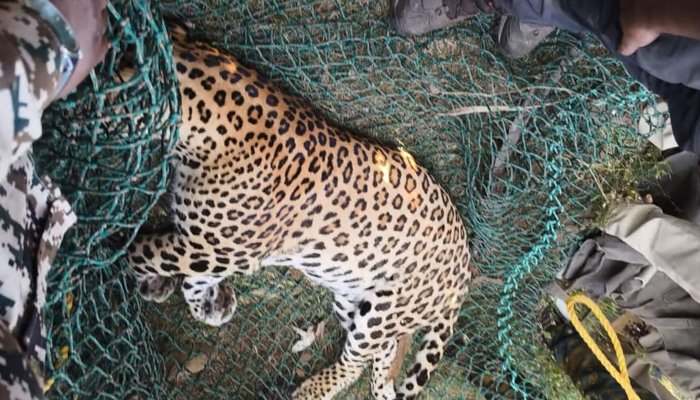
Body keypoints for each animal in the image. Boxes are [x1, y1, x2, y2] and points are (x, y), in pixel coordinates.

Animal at [126, 23, 472, 400]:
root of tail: (465, 271)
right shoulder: (216, 251)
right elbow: (189, 278)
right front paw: (208, 305)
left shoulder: (213, 249)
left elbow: (142, 253)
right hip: (351, 298)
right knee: (384, 351)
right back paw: (382, 390)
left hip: (382, 313)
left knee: (355, 360)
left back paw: (310, 391)